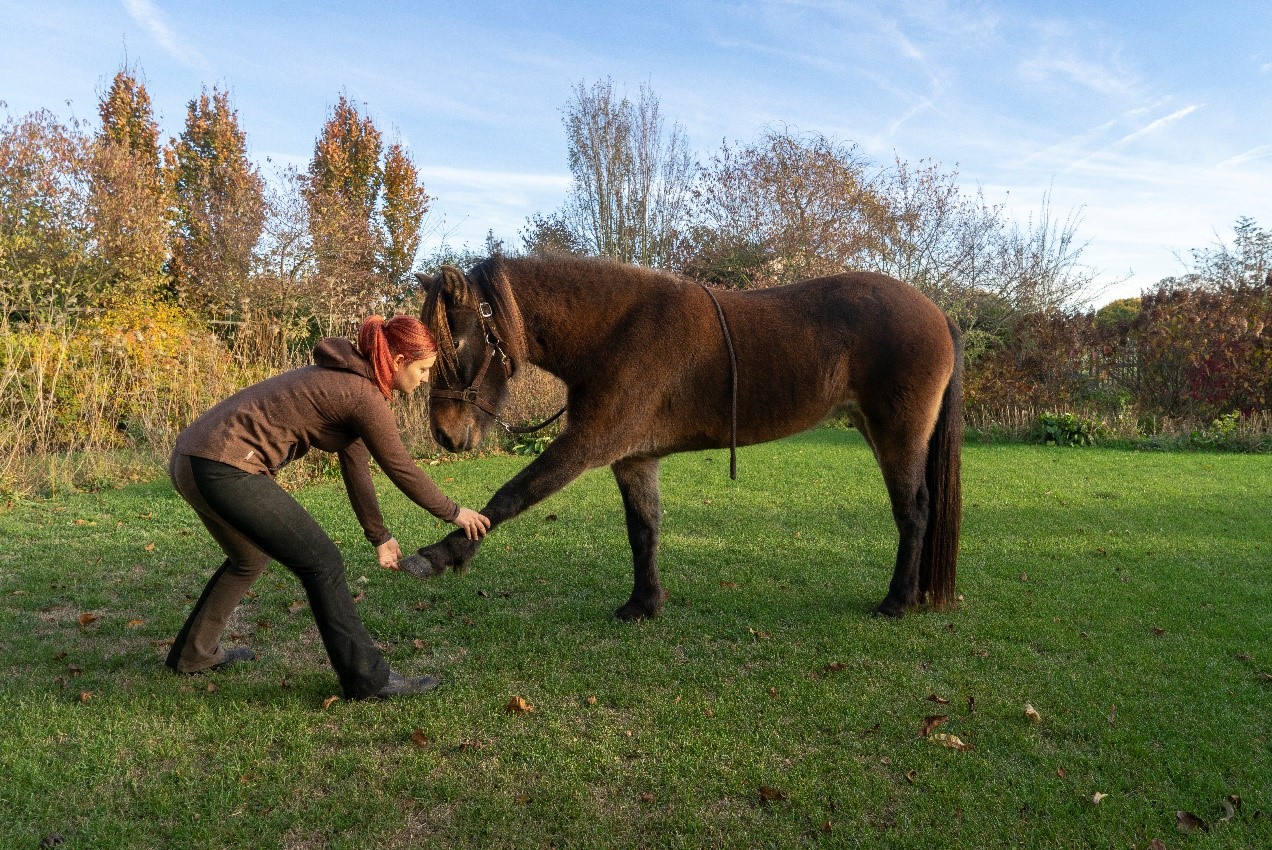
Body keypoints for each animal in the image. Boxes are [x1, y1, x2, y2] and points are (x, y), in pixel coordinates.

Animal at [401, 251, 956, 618]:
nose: (445, 435)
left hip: (898, 433)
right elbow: (643, 530)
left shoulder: (586, 445)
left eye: (457, 343)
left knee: (914, 511)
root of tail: (938, 314)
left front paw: (441, 555)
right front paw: (643, 605)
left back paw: (896, 602)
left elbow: (513, 495)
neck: (618, 332)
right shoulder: (633, 458)